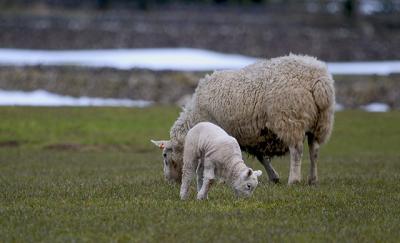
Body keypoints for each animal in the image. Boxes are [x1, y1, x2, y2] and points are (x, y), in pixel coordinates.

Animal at [152, 54, 336, 185]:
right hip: (321, 121)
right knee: (314, 150)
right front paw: (273, 177)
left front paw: (220, 179)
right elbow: (262, 157)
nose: (169, 181)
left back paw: (294, 180)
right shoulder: (251, 134)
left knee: (297, 150)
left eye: (165, 156)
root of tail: (318, 79)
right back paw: (312, 179)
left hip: (290, 118)